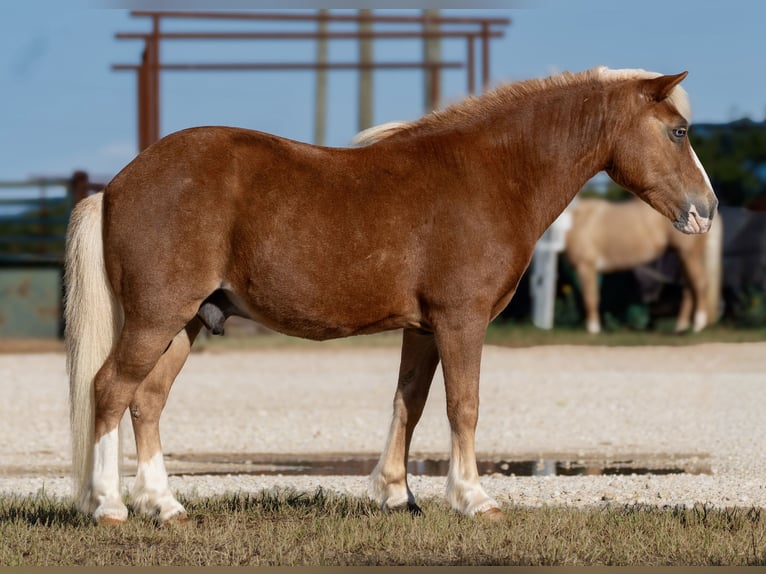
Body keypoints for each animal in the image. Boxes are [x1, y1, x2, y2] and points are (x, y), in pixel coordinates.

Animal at [563, 196, 723, 334]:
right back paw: (680, 327)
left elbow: (590, 298)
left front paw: (593, 329)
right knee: (689, 288)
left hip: (689, 256)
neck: (579, 219)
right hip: (683, 258)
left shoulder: (586, 266)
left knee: (700, 284)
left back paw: (698, 324)